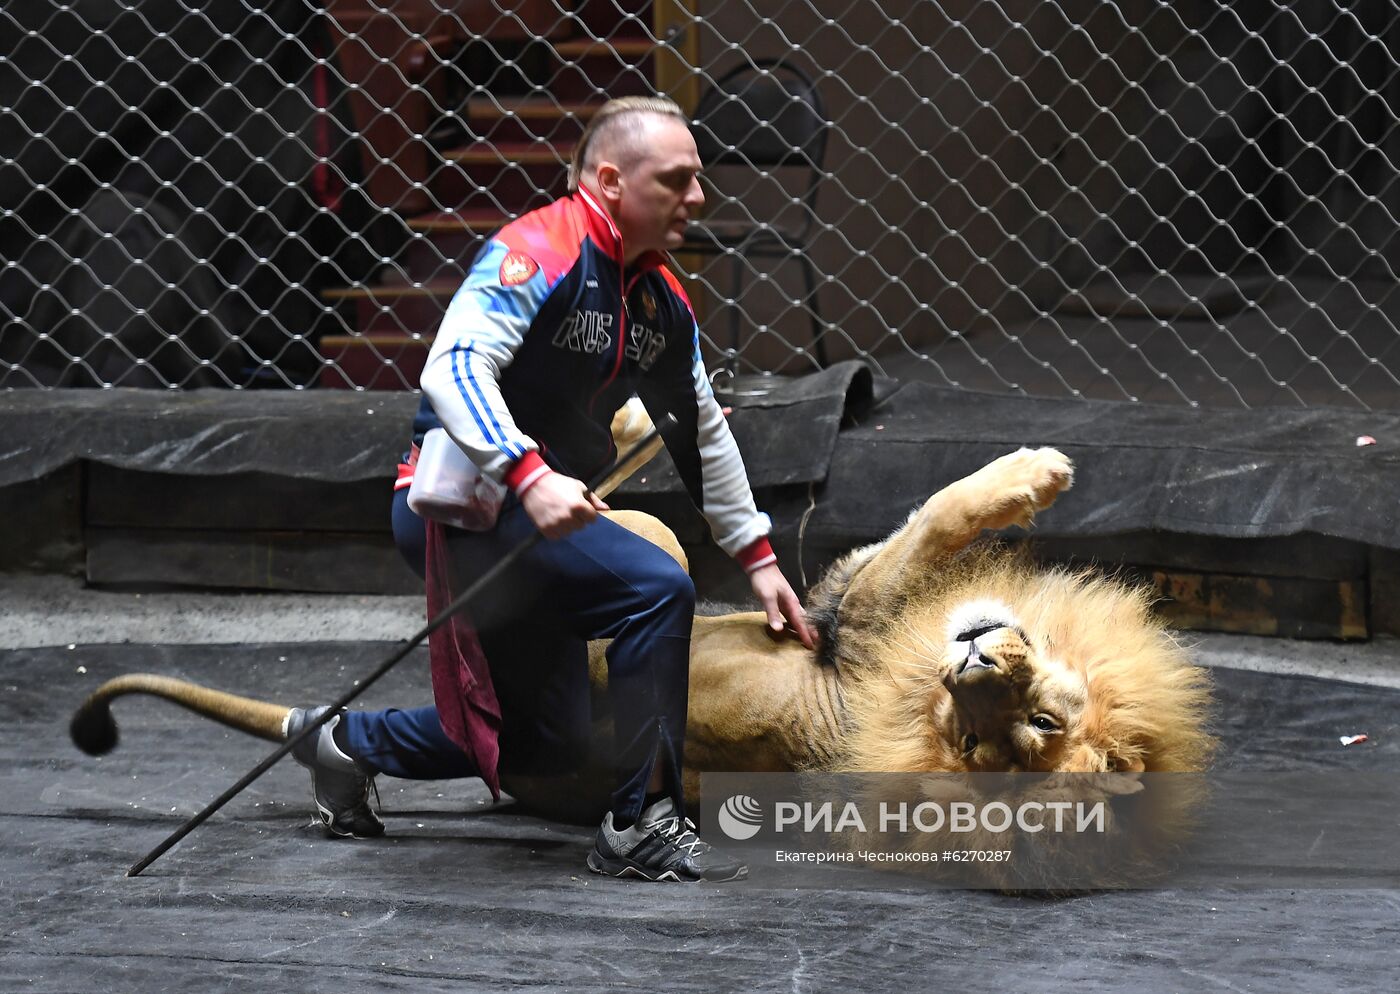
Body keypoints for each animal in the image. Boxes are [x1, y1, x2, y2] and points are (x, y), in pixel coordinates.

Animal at [68, 445, 1215, 834]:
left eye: (1017, 733)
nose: (977, 659)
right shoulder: (851, 604)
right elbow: (946, 508)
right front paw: (1039, 474)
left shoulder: (856, 608)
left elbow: (939, 507)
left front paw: (1035, 470)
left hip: (623, 570)